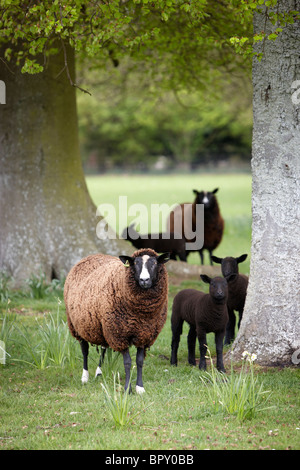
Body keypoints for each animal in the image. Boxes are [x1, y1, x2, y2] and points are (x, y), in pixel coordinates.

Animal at [63, 248, 170, 394]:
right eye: (135, 263)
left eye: (154, 263)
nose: (144, 280)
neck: (141, 316)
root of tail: (89, 256)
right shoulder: (120, 335)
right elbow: (128, 362)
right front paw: (127, 389)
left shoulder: (144, 333)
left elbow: (139, 361)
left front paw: (140, 388)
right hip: (78, 324)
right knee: (84, 349)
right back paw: (85, 377)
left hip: (102, 326)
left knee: (103, 347)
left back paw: (98, 372)